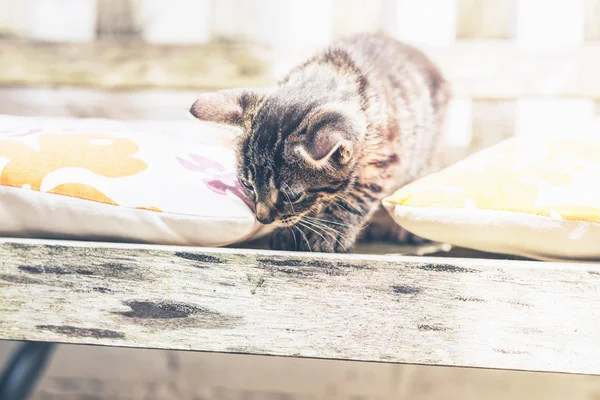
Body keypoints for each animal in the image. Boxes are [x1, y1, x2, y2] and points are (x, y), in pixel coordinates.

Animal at [190, 33, 448, 253]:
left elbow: (355, 197)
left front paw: (330, 229)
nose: (262, 218)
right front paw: (296, 231)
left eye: (292, 196)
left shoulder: (385, 159)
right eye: (246, 184)